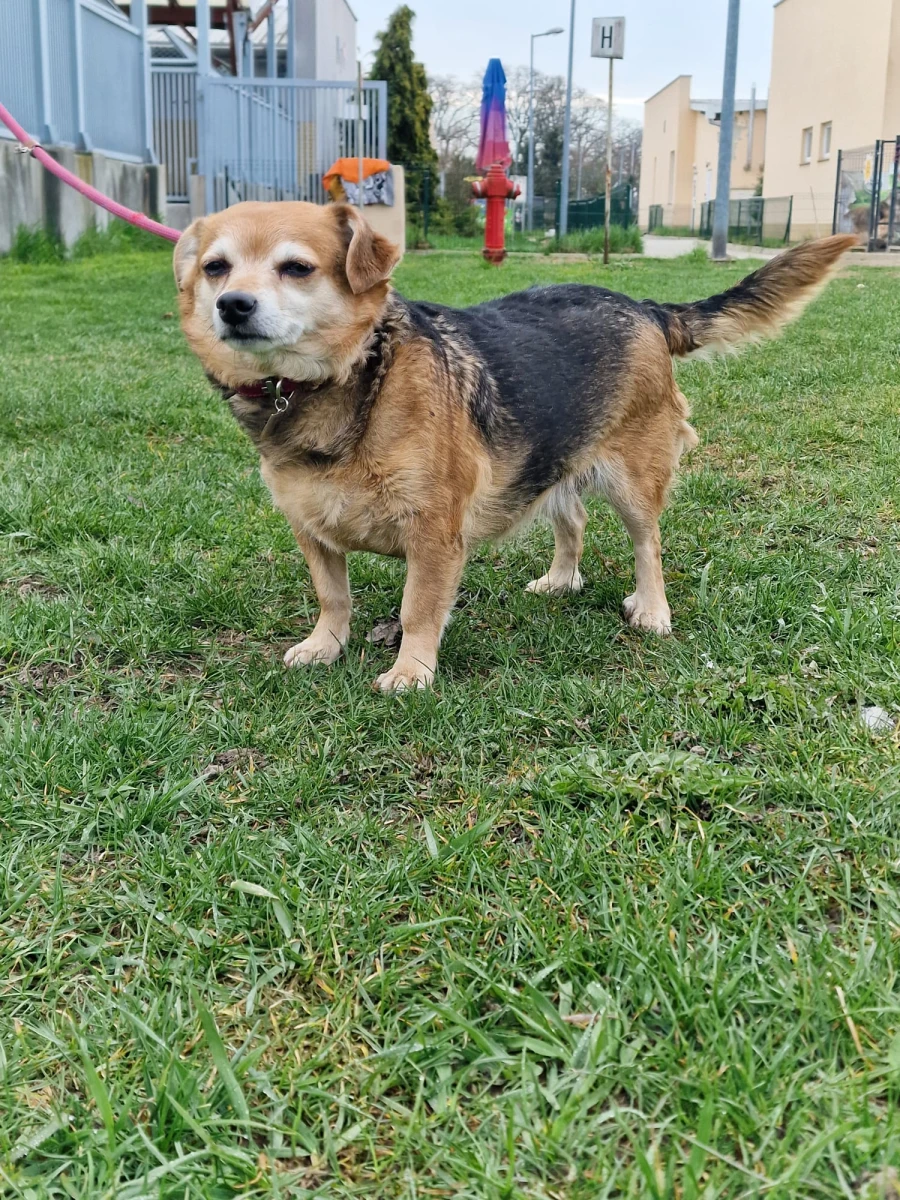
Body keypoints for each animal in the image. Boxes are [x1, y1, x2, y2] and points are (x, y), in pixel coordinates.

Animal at [174, 202, 854, 691]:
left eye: (296, 267)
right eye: (216, 267)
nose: (233, 306)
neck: (341, 381)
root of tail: (646, 307)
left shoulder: (434, 534)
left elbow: (418, 609)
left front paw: (411, 672)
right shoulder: (310, 529)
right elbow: (332, 595)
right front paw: (326, 645)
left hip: (634, 478)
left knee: (649, 545)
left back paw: (653, 609)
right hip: (549, 463)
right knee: (573, 520)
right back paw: (561, 579)